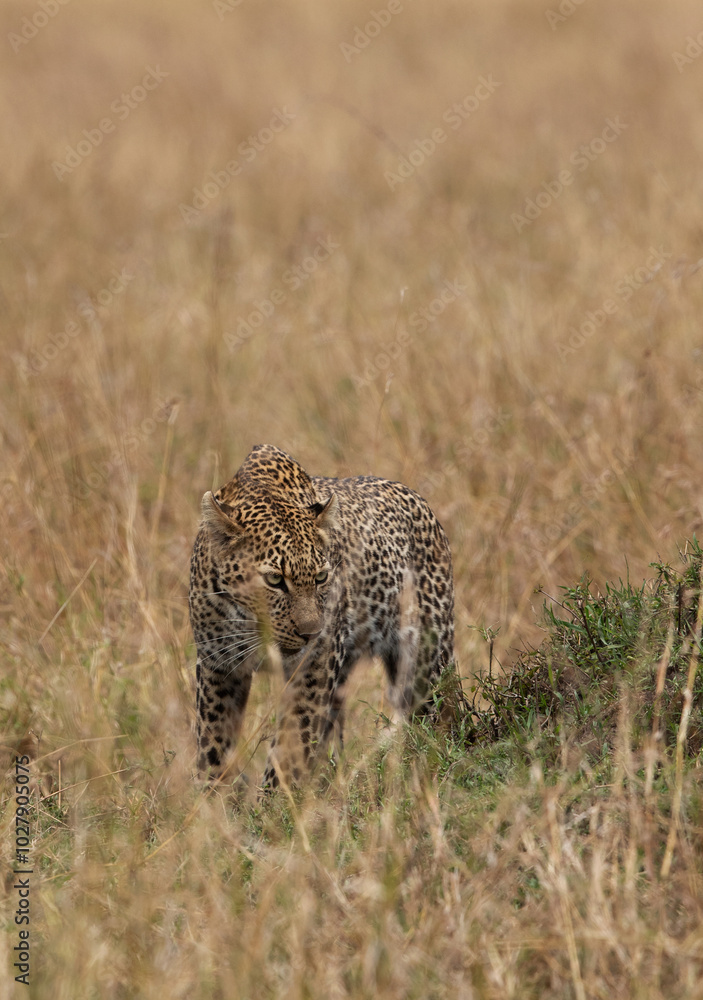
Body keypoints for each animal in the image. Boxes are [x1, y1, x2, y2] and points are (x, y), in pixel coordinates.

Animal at [188, 444, 454, 789]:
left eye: (321, 577)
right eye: (274, 579)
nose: (310, 633)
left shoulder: (314, 665)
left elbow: (292, 743)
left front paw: (277, 800)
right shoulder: (217, 666)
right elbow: (214, 742)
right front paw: (213, 796)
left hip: (425, 662)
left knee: (434, 719)